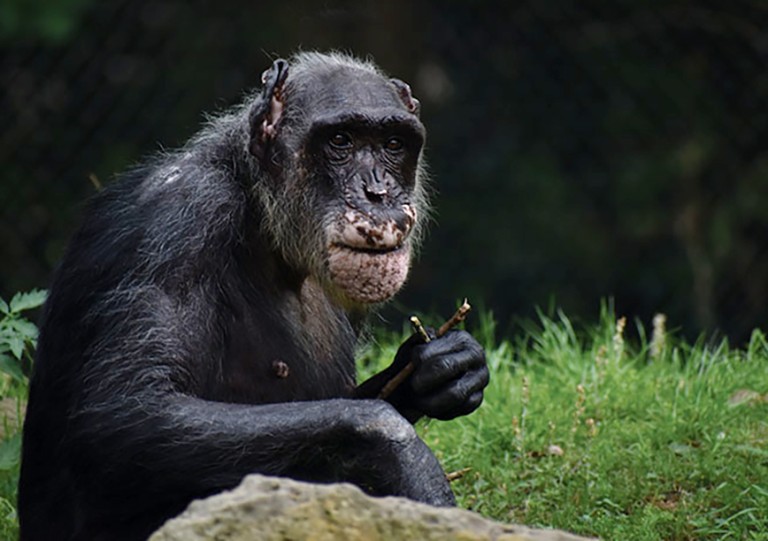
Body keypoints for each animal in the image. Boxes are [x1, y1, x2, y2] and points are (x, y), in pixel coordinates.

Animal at [21, 51, 488, 540]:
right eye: (340, 140)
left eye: (393, 144)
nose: (377, 191)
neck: (262, 215)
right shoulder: (177, 225)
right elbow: (125, 412)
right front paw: (395, 448)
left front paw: (444, 365)